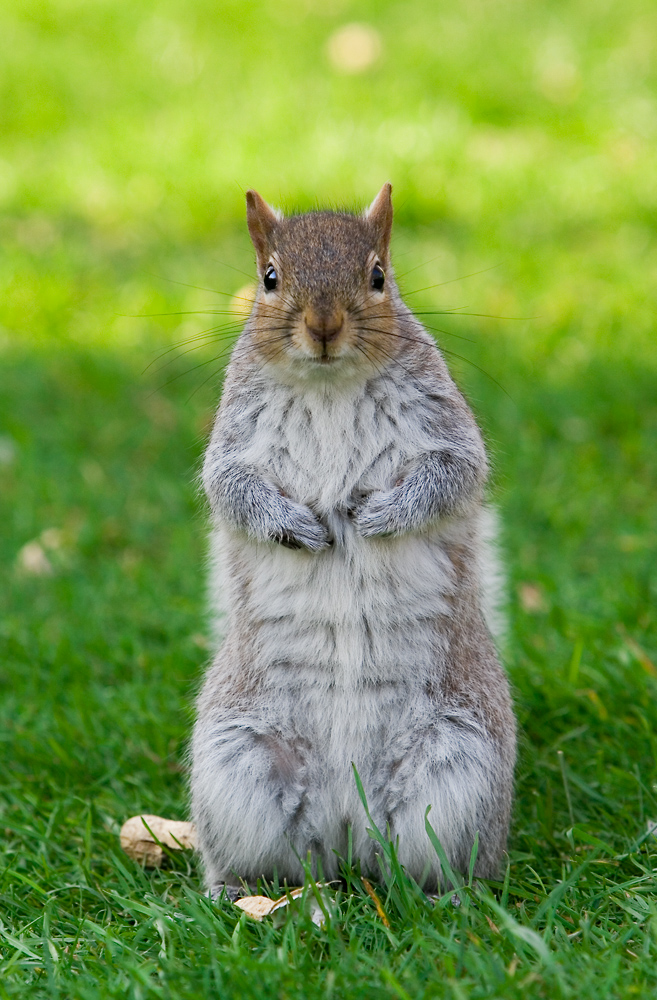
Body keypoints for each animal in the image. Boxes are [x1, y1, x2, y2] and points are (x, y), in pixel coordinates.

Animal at [192, 186, 516, 900]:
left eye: (378, 277)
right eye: (270, 278)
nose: (323, 325)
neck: (328, 385)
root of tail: (346, 827)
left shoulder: (444, 424)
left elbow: (454, 473)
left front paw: (379, 516)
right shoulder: (234, 437)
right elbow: (230, 488)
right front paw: (297, 525)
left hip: (458, 767)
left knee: (433, 857)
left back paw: (453, 896)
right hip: (238, 763)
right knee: (268, 859)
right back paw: (237, 891)